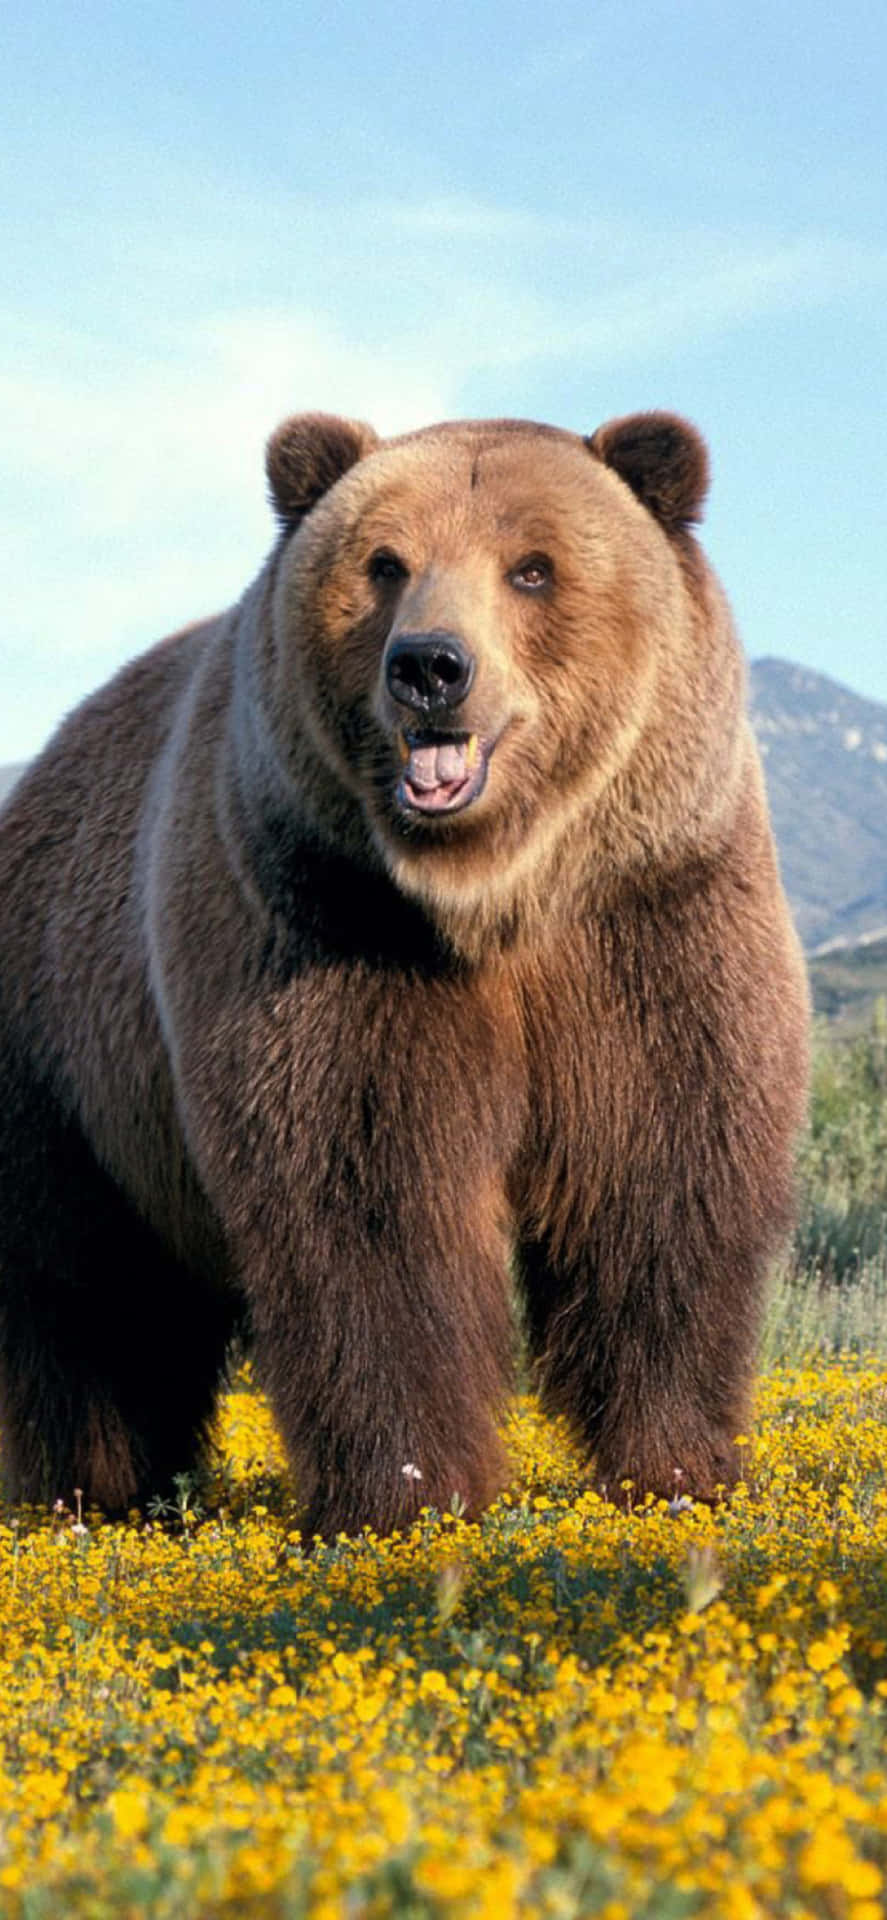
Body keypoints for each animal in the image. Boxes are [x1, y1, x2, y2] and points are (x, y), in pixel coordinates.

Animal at [0, 409, 809, 1538]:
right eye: (384, 563)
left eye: (531, 567)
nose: (430, 665)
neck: (494, 895)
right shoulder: (327, 925)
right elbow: (369, 1201)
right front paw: (408, 1493)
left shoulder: (647, 914)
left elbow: (658, 1176)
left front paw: (678, 1467)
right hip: (65, 1049)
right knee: (84, 1290)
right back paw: (95, 1493)